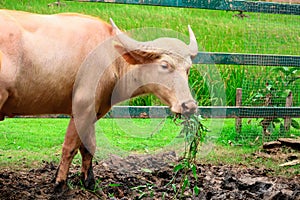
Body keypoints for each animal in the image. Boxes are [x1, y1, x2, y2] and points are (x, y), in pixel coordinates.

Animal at [0, 9, 198, 192]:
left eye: (188, 69)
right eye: (164, 65)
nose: (189, 105)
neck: (111, 59)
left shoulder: (94, 111)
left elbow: (88, 147)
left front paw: (89, 182)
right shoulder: (82, 108)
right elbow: (69, 147)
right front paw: (59, 184)